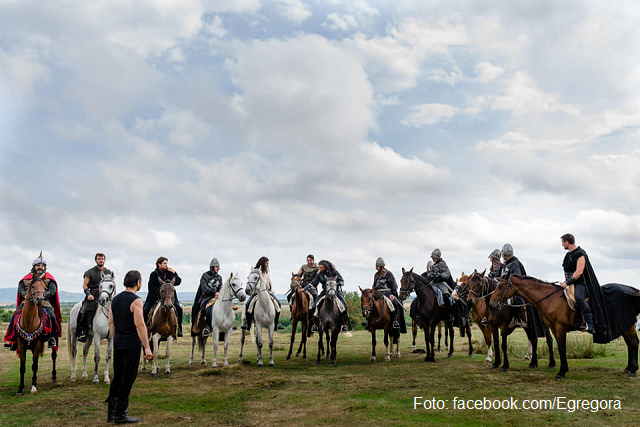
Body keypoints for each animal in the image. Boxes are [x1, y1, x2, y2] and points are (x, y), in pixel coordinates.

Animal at [490, 272, 636, 380]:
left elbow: (561, 347)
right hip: (626, 326)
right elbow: (559, 347)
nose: (491, 303)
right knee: (631, 343)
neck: (549, 299)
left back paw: (633, 370)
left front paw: (561, 372)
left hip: (628, 326)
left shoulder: (560, 328)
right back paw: (629, 368)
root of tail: (631, 289)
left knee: (633, 343)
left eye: (501, 286)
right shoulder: (554, 328)